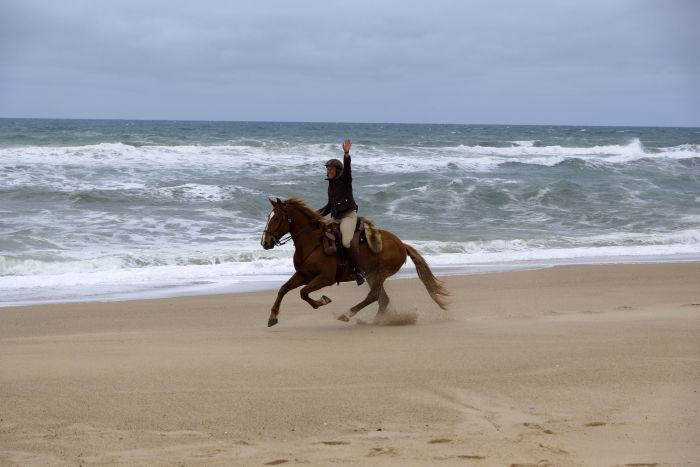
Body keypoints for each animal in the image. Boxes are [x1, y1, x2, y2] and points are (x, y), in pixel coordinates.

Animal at [258, 197, 448, 330]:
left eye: (277, 219)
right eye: (268, 216)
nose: (265, 243)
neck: (312, 243)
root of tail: (401, 244)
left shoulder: (325, 278)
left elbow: (303, 293)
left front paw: (322, 301)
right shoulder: (303, 275)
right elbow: (284, 289)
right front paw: (272, 317)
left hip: (379, 273)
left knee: (374, 296)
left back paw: (347, 314)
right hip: (372, 275)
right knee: (382, 299)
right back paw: (375, 321)